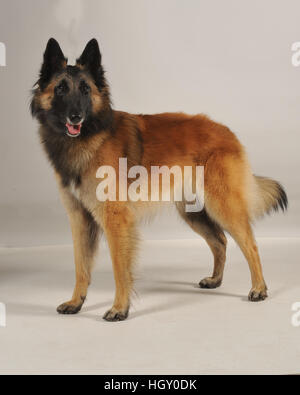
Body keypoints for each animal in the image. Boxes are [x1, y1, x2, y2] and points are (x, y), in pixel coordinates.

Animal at [31, 38, 288, 322]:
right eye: (61, 89)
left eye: (86, 90)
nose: (75, 116)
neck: (90, 136)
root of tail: (227, 131)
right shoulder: (79, 218)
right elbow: (80, 266)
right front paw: (76, 303)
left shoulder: (116, 219)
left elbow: (120, 267)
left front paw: (120, 308)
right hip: (193, 213)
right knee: (220, 241)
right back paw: (215, 280)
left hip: (223, 206)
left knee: (250, 244)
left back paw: (259, 288)